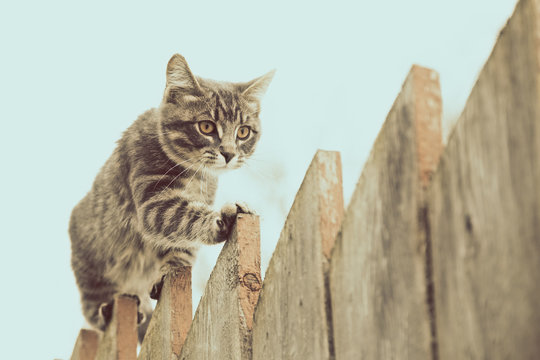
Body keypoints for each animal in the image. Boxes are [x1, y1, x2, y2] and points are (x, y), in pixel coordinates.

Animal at [69, 54, 274, 344]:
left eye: (243, 132)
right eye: (206, 126)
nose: (229, 153)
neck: (195, 175)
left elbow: (182, 246)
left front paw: (171, 266)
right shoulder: (153, 200)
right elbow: (182, 216)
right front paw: (221, 219)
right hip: (92, 270)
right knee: (94, 312)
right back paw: (107, 310)